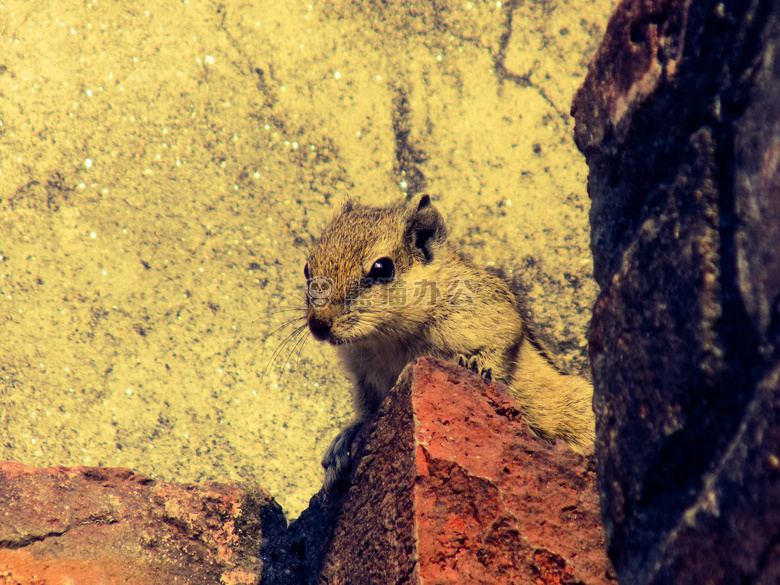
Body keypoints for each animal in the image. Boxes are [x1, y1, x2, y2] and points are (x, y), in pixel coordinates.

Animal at [302, 194, 596, 490]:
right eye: (306, 269)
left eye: (382, 268)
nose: (318, 326)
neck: (390, 337)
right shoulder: (365, 379)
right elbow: (365, 416)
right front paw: (341, 444)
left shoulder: (498, 316)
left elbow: (502, 345)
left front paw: (475, 366)